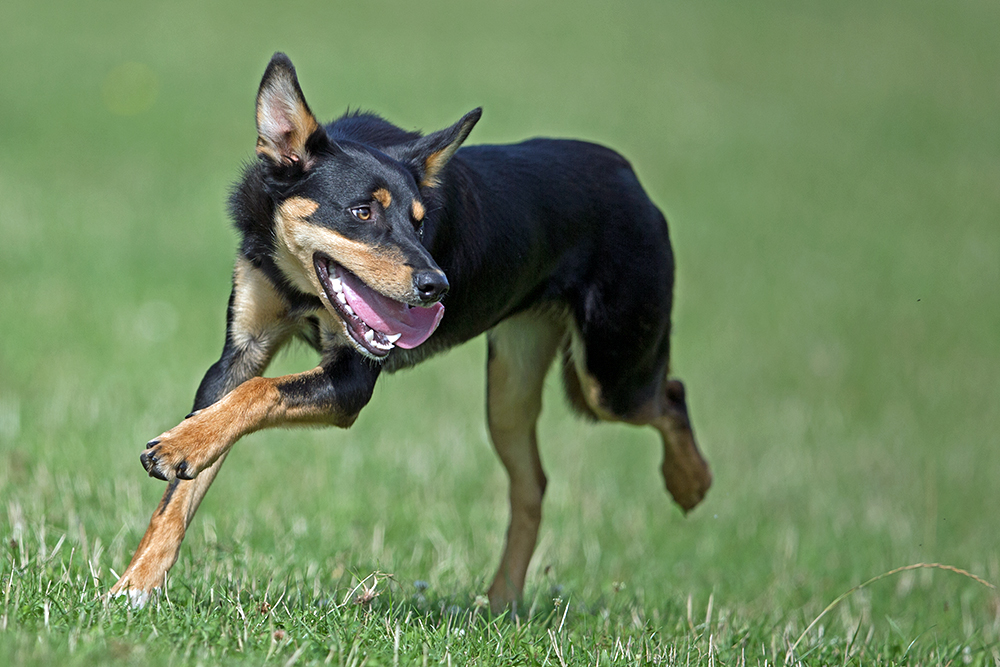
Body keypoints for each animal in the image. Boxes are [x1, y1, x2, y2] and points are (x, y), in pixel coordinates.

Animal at [111, 53, 712, 616]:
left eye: (421, 222)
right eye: (361, 213)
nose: (436, 286)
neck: (302, 287)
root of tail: (629, 177)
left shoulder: (350, 381)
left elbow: (256, 396)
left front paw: (177, 446)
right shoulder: (240, 354)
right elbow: (186, 483)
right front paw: (136, 584)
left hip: (608, 375)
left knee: (671, 395)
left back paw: (691, 483)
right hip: (512, 388)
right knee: (533, 484)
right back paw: (501, 602)